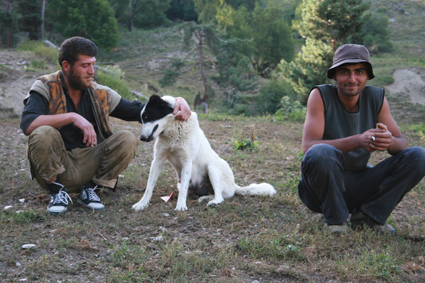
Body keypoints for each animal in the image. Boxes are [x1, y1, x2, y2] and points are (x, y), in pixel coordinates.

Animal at [133, 95, 278, 211]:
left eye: (147, 116)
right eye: (141, 119)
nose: (141, 138)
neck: (173, 129)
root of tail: (234, 185)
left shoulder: (187, 162)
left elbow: (183, 189)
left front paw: (181, 206)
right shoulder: (158, 160)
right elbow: (149, 186)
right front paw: (142, 203)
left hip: (211, 167)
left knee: (220, 196)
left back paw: (212, 201)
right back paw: (203, 198)